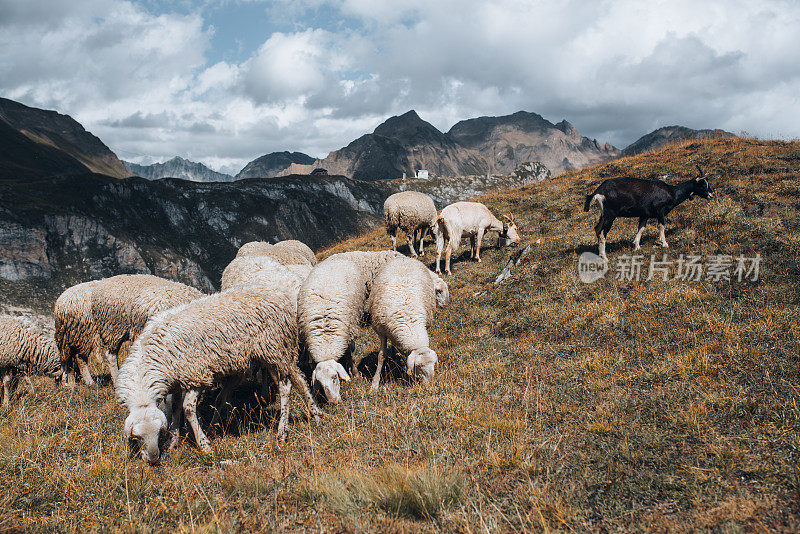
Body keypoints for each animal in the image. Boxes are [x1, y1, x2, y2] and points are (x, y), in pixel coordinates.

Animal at [116, 286, 322, 466]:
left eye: (158, 432)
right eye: (137, 437)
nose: (153, 459)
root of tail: (279, 296)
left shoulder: (196, 374)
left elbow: (188, 409)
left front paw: (204, 446)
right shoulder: (177, 380)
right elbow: (175, 408)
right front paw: (173, 442)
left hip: (273, 348)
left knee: (285, 386)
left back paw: (282, 432)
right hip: (273, 352)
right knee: (298, 378)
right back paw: (315, 415)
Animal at [296, 258, 366, 404]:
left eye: (335, 377)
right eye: (320, 382)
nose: (333, 402)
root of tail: (337, 258)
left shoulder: (347, 333)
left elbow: (350, 356)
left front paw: (355, 374)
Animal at [368, 258, 450, 390]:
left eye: (434, 364)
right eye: (419, 366)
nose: (430, 385)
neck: (409, 321)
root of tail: (405, 258)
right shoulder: (381, 331)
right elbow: (381, 356)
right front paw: (374, 385)